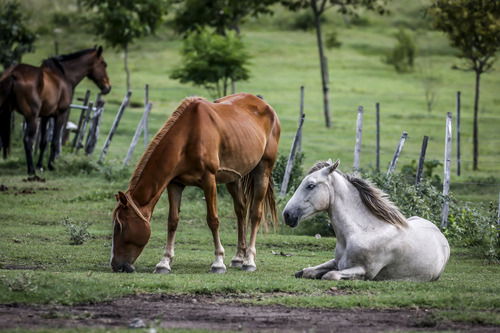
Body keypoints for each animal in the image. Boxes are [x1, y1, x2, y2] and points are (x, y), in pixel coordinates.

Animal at [0, 46, 111, 174]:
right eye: (104, 64)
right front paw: (50, 166)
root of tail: (13, 74)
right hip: (32, 118)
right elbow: (54, 141)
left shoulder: (45, 116)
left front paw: (40, 165)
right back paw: (31, 169)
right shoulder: (60, 115)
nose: (108, 87)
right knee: (28, 140)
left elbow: (43, 142)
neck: (64, 76)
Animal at [110, 92, 282, 272]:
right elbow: (172, 221)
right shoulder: (175, 183)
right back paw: (238, 257)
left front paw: (218, 261)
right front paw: (164, 262)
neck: (188, 137)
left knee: (255, 214)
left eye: (119, 226)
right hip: (234, 177)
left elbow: (213, 220)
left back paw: (249, 260)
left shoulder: (209, 181)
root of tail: (266, 106)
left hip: (263, 170)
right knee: (241, 211)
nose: (116, 265)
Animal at [284, 159, 452, 280]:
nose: (287, 215)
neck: (362, 232)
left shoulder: (364, 271)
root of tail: (439, 233)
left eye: (310, 185)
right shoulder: (337, 262)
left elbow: (330, 275)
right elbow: (306, 271)